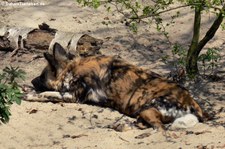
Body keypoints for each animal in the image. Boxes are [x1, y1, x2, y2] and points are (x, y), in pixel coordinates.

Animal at [31, 42, 204, 131]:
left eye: (41, 77)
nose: (32, 81)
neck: (71, 69)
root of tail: (192, 103)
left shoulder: (72, 96)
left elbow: (47, 94)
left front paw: (31, 95)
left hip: (146, 106)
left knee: (160, 128)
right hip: (145, 110)